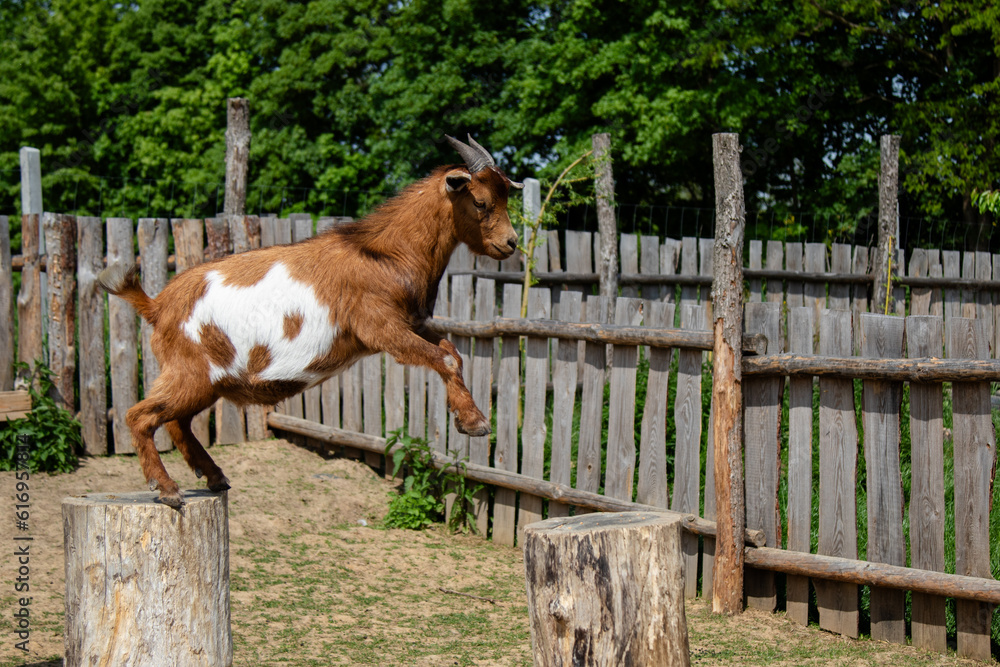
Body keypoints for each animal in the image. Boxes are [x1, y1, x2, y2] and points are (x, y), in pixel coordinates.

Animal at [100, 135, 521, 508]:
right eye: (481, 202)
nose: (511, 243)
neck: (386, 254)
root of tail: (156, 305)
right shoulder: (381, 327)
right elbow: (444, 357)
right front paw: (475, 423)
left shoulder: (414, 322)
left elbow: (451, 350)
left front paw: (467, 419)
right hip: (190, 371)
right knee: (139, 416)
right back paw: (167, 489)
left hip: (203, 380)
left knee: (177, 421)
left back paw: (214, 477)